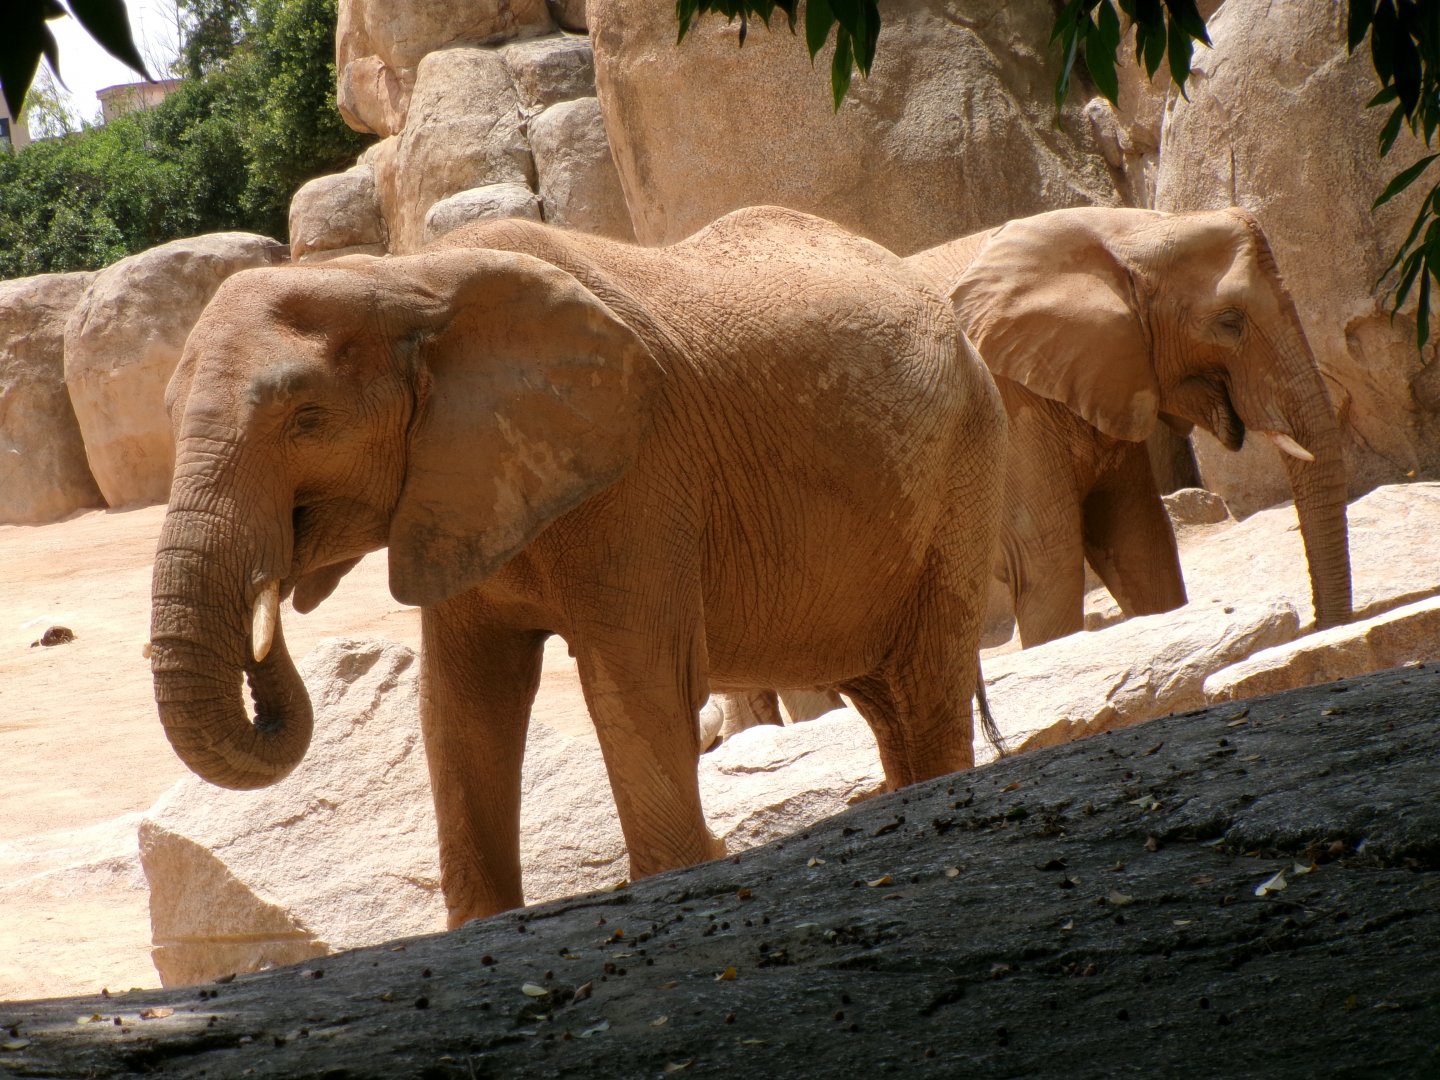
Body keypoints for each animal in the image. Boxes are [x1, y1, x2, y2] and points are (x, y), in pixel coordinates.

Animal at [149, 206, 1007, 926]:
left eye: (306, 419)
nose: (273, 591)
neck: (402, 279)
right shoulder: (467, 487)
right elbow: (461, 705)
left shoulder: (643, 471)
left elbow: (638, 688)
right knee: (889, 701)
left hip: (963, 468)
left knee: (927, 688)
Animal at [904, 206, 1352, 648]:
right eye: (1229, 323)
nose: (1319, 628)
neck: (1122, 233)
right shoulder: (1003, 400)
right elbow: (1046, 555)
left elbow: (1139, 536)